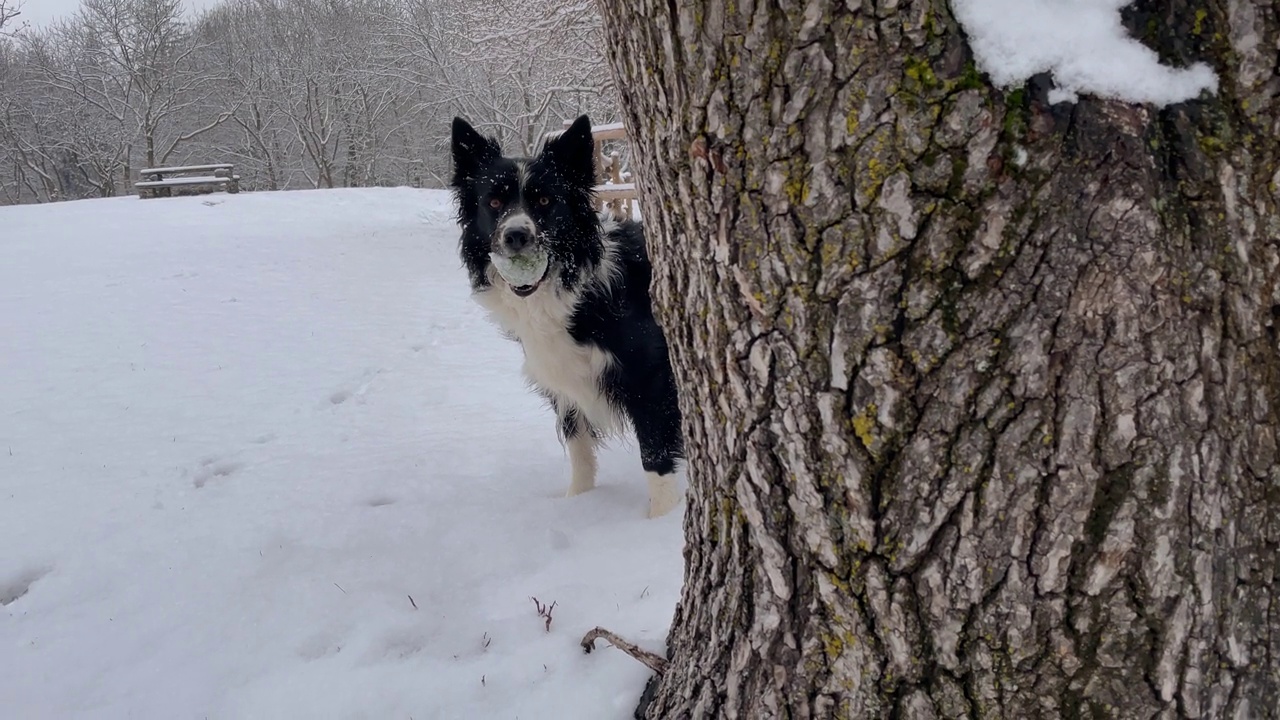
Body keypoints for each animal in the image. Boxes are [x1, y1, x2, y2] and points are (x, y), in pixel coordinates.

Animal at [455, 114, 686, 512]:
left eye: (546, 199)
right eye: (494, 201)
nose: (516, 236)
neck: (570, 287)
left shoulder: (652, 379)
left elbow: (655, 455)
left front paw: (662, 515)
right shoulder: (564, 380)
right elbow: (579, 448)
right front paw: (577, 502)